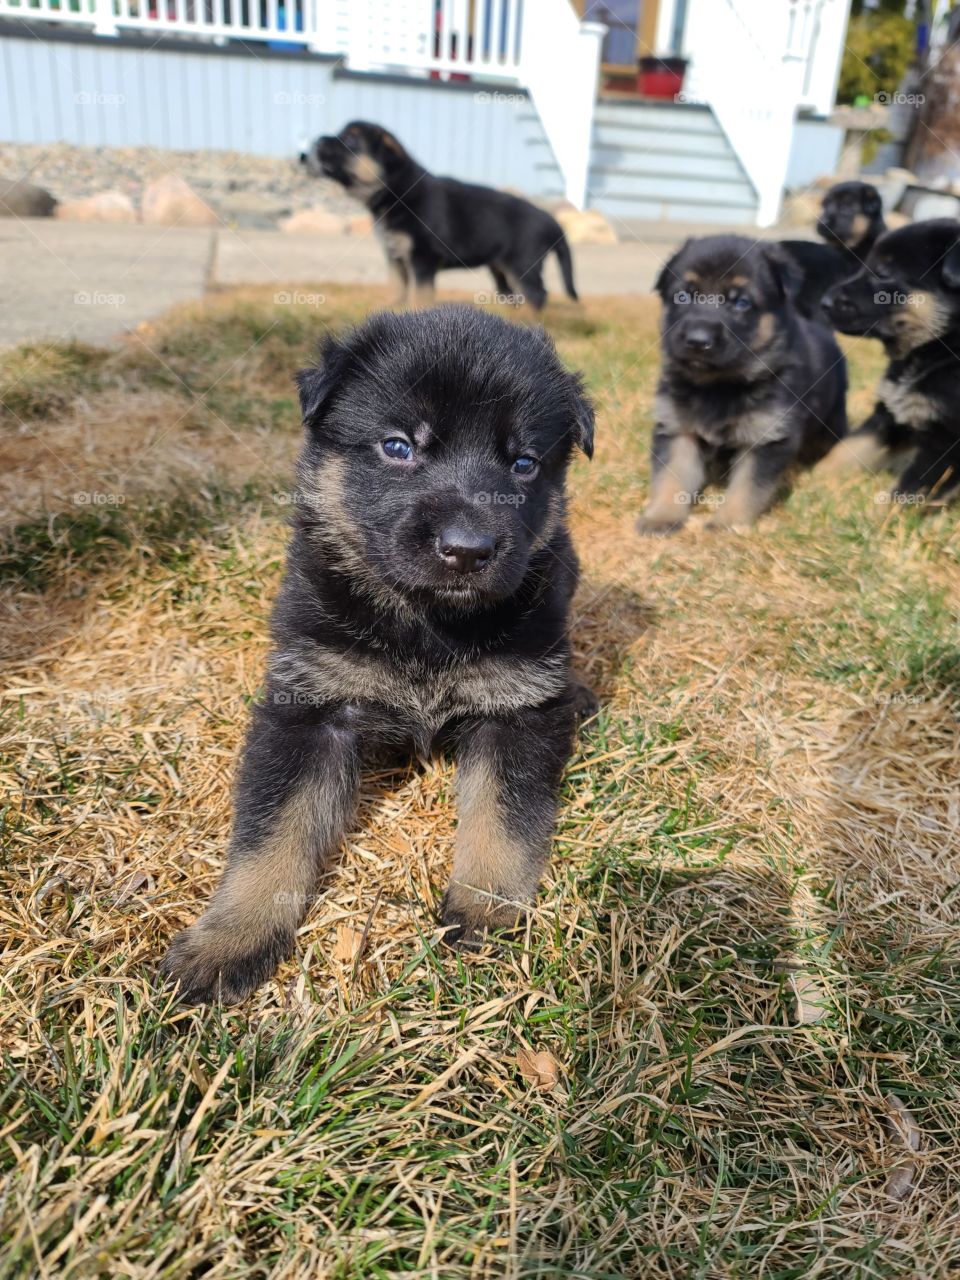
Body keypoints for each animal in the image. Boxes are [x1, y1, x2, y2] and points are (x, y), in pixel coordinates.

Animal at [161, 304, 599, 1003]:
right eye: (398, 447)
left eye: (525, 463)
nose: (468, 548)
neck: (427, 622)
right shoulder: (309, 707)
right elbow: (271, 836)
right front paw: (231, 939)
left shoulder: (515, 710)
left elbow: (504, 818)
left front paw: (485, 906)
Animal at [302, 120, 578, 311]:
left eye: (350, 140)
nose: (315, 143)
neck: (394, 191)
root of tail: (551, 220)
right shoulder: (395, 256)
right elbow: (397, 287)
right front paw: (391, 308)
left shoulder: (422, 258)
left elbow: (420, 295)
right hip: (501, 269)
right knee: (515, 295)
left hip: (522, 264)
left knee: (537, 296)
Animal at [640, 232, 849, 532]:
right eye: (683, 296)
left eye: (740, 303)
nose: (697, 341)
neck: (719, 385)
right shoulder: (678, 430)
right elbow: (671, 476)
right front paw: (662, 516)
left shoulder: (765, 438)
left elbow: (747, 487)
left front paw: (728, 523)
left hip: (830, 422)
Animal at [819, 217, 960, 501]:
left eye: (883, 273)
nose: (824, 302)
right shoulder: (890, 412)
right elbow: (849, 447)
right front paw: (813, 478)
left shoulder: (946, 442)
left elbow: (912, 487)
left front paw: (884, 512)